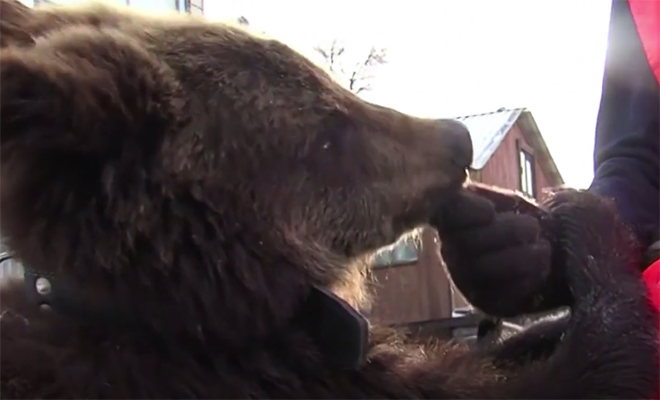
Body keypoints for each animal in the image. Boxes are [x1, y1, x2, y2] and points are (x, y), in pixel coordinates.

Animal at [0, 1, 656, 398]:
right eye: (325, 130)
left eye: (328, 81)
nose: (457, 138)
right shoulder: (277, 376)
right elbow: (594, 369)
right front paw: (585, 219)